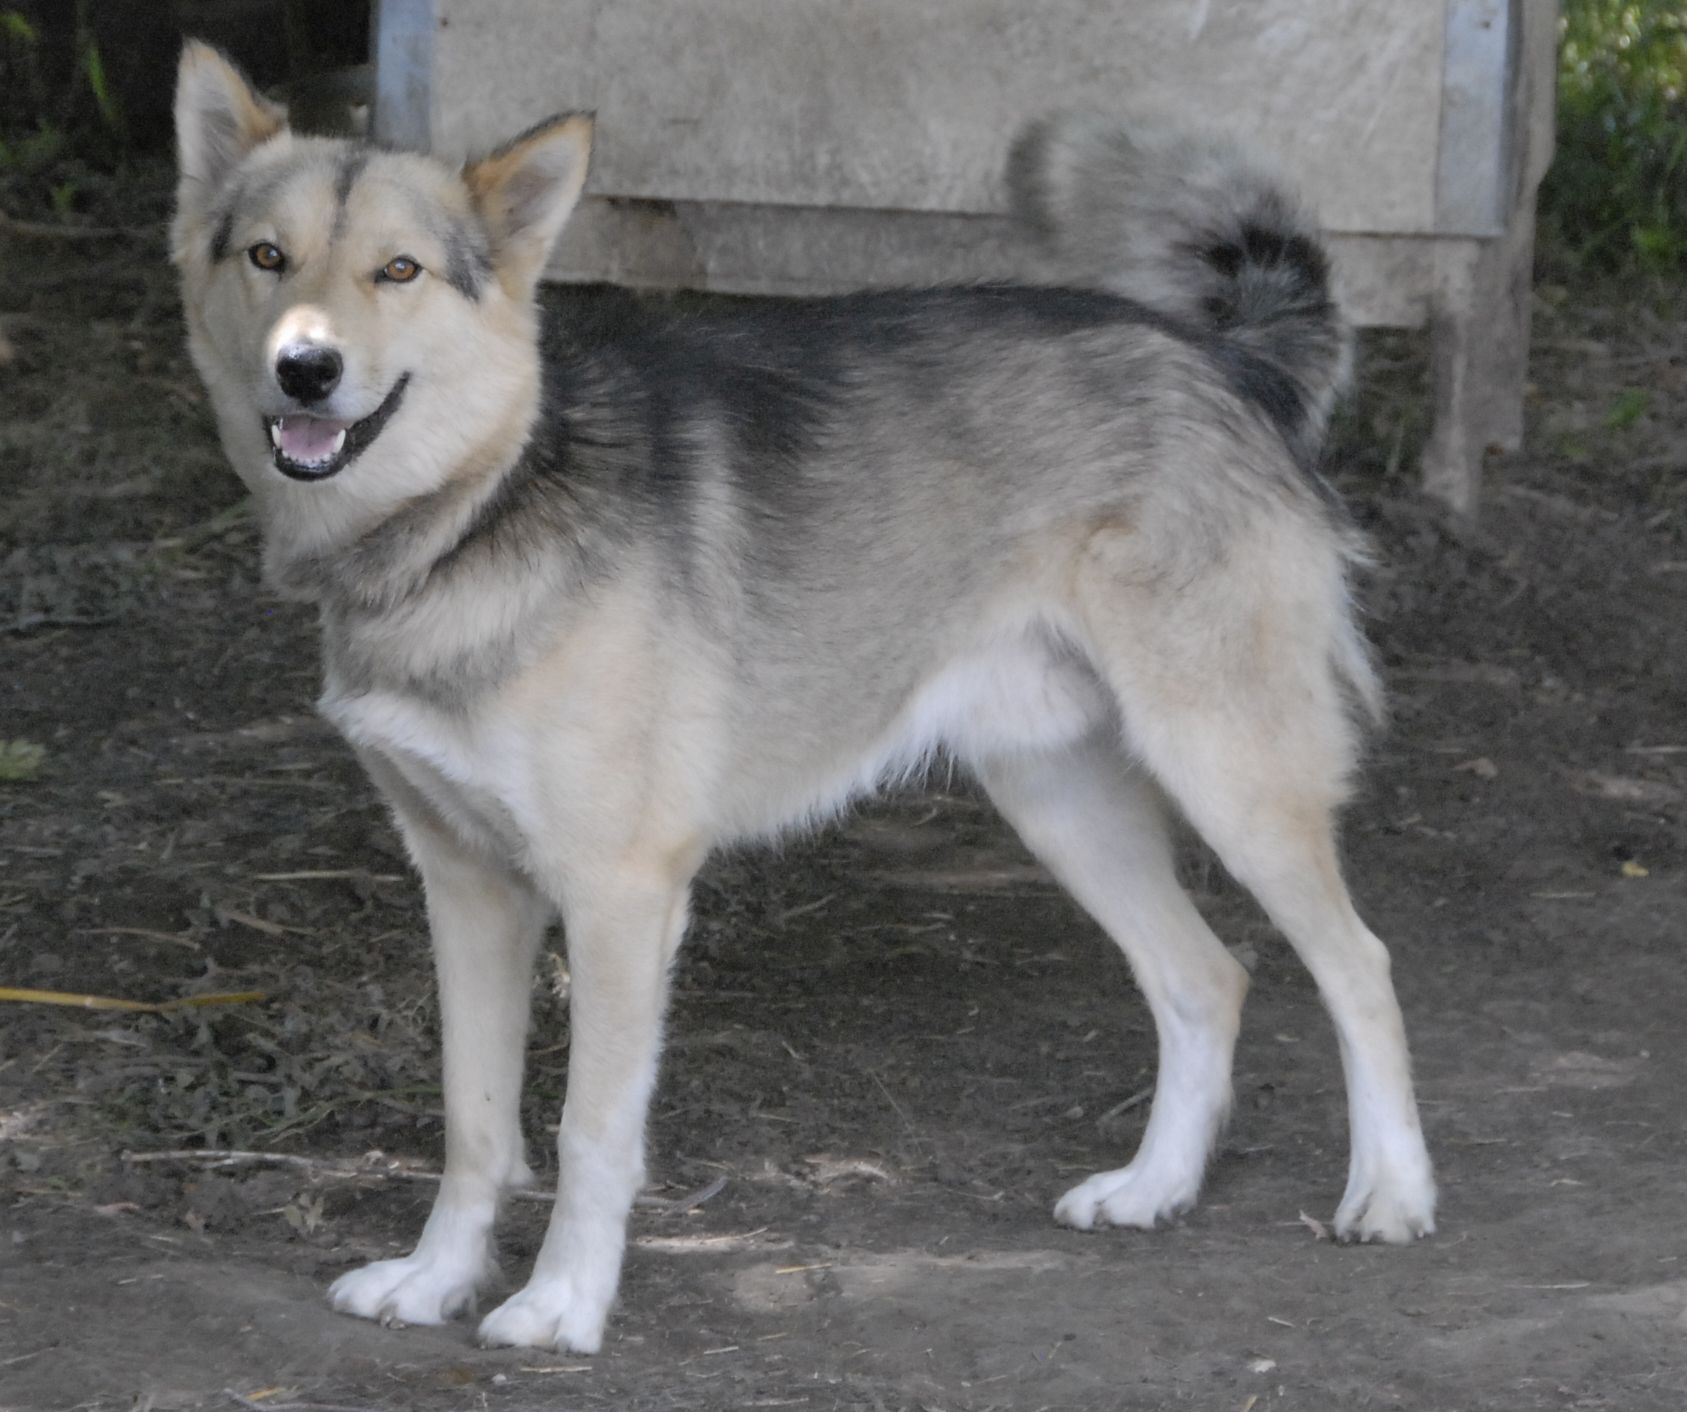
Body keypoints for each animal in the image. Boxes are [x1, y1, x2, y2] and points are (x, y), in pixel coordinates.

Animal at [174, 38, 1437, 1349]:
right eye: (266, 256)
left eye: (399, 269)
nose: (303, 367)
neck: (473, 513)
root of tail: (1219, 358)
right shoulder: (467, 886)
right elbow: (474, 1120)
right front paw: (435, 1277)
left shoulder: (619, 895)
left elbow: (587, 1131)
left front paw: (563, 1301)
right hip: (1060, 800)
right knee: (1206, 977)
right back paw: (1155, 1185)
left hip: (1232, 775)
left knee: (1358, 966)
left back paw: (1391, 1191)